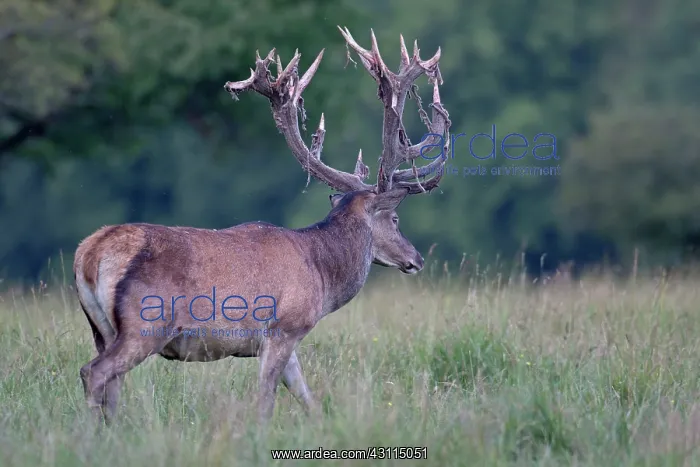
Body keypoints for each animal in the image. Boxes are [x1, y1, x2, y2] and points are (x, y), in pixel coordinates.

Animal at [73, 26, 451, 425]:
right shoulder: (285, 326)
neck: (321, 274)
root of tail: (90, 254)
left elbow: (305, 395)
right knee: (94, 372)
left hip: (101, 328)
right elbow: (266, 398)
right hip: (146, 322)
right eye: (395, 218)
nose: (416, 258)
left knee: (111, 381)